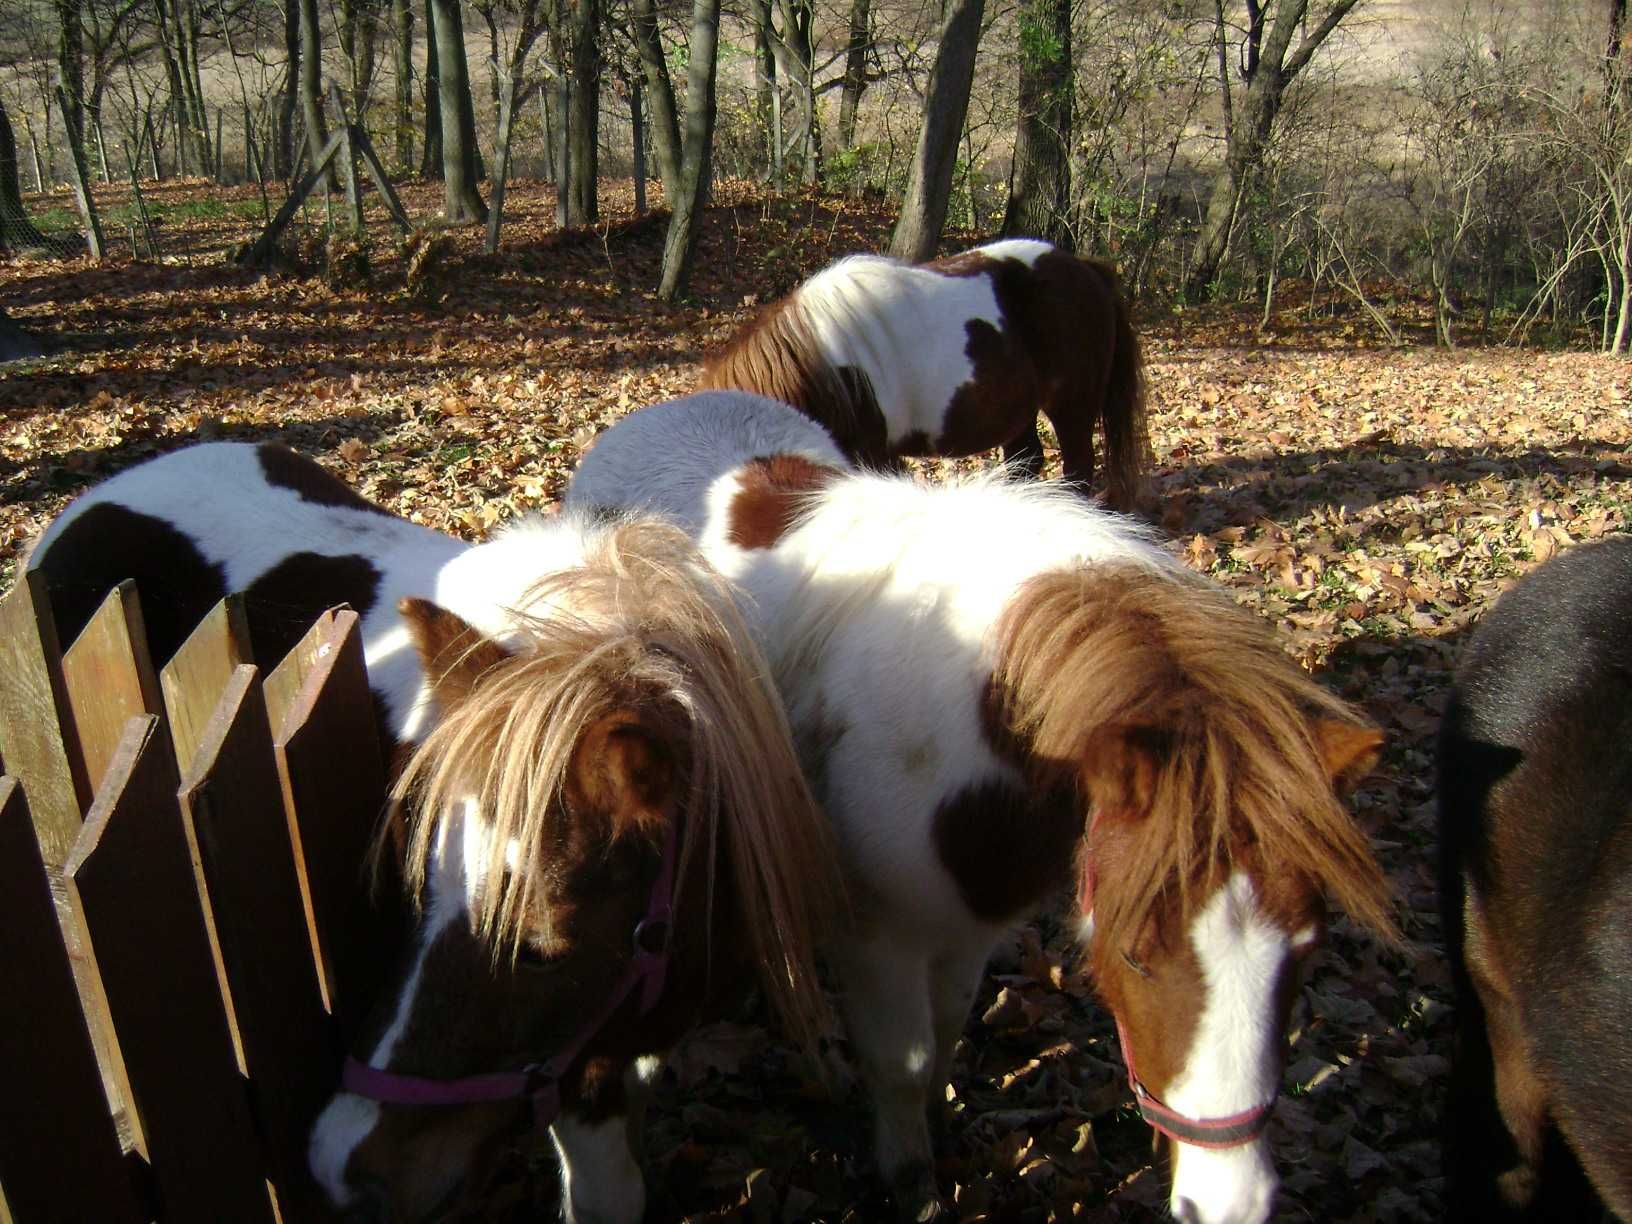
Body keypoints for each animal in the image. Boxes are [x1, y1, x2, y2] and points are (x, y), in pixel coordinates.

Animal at [567, 393, 1396, 1224]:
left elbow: (947, 1029)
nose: (1234, 1204)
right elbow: (901, 1062)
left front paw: (939, 1132)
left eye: (1308, 948)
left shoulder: (969, 924)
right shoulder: (880, 936)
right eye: (1135, 954)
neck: (974, 714)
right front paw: (909, 1180)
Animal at [695, 239, 1155, 512]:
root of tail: (1086, 269)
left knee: (1077, 469)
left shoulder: (873, 454)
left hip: (1071, 408)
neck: (821, 369)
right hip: (1019, 414)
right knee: (1027, 462)